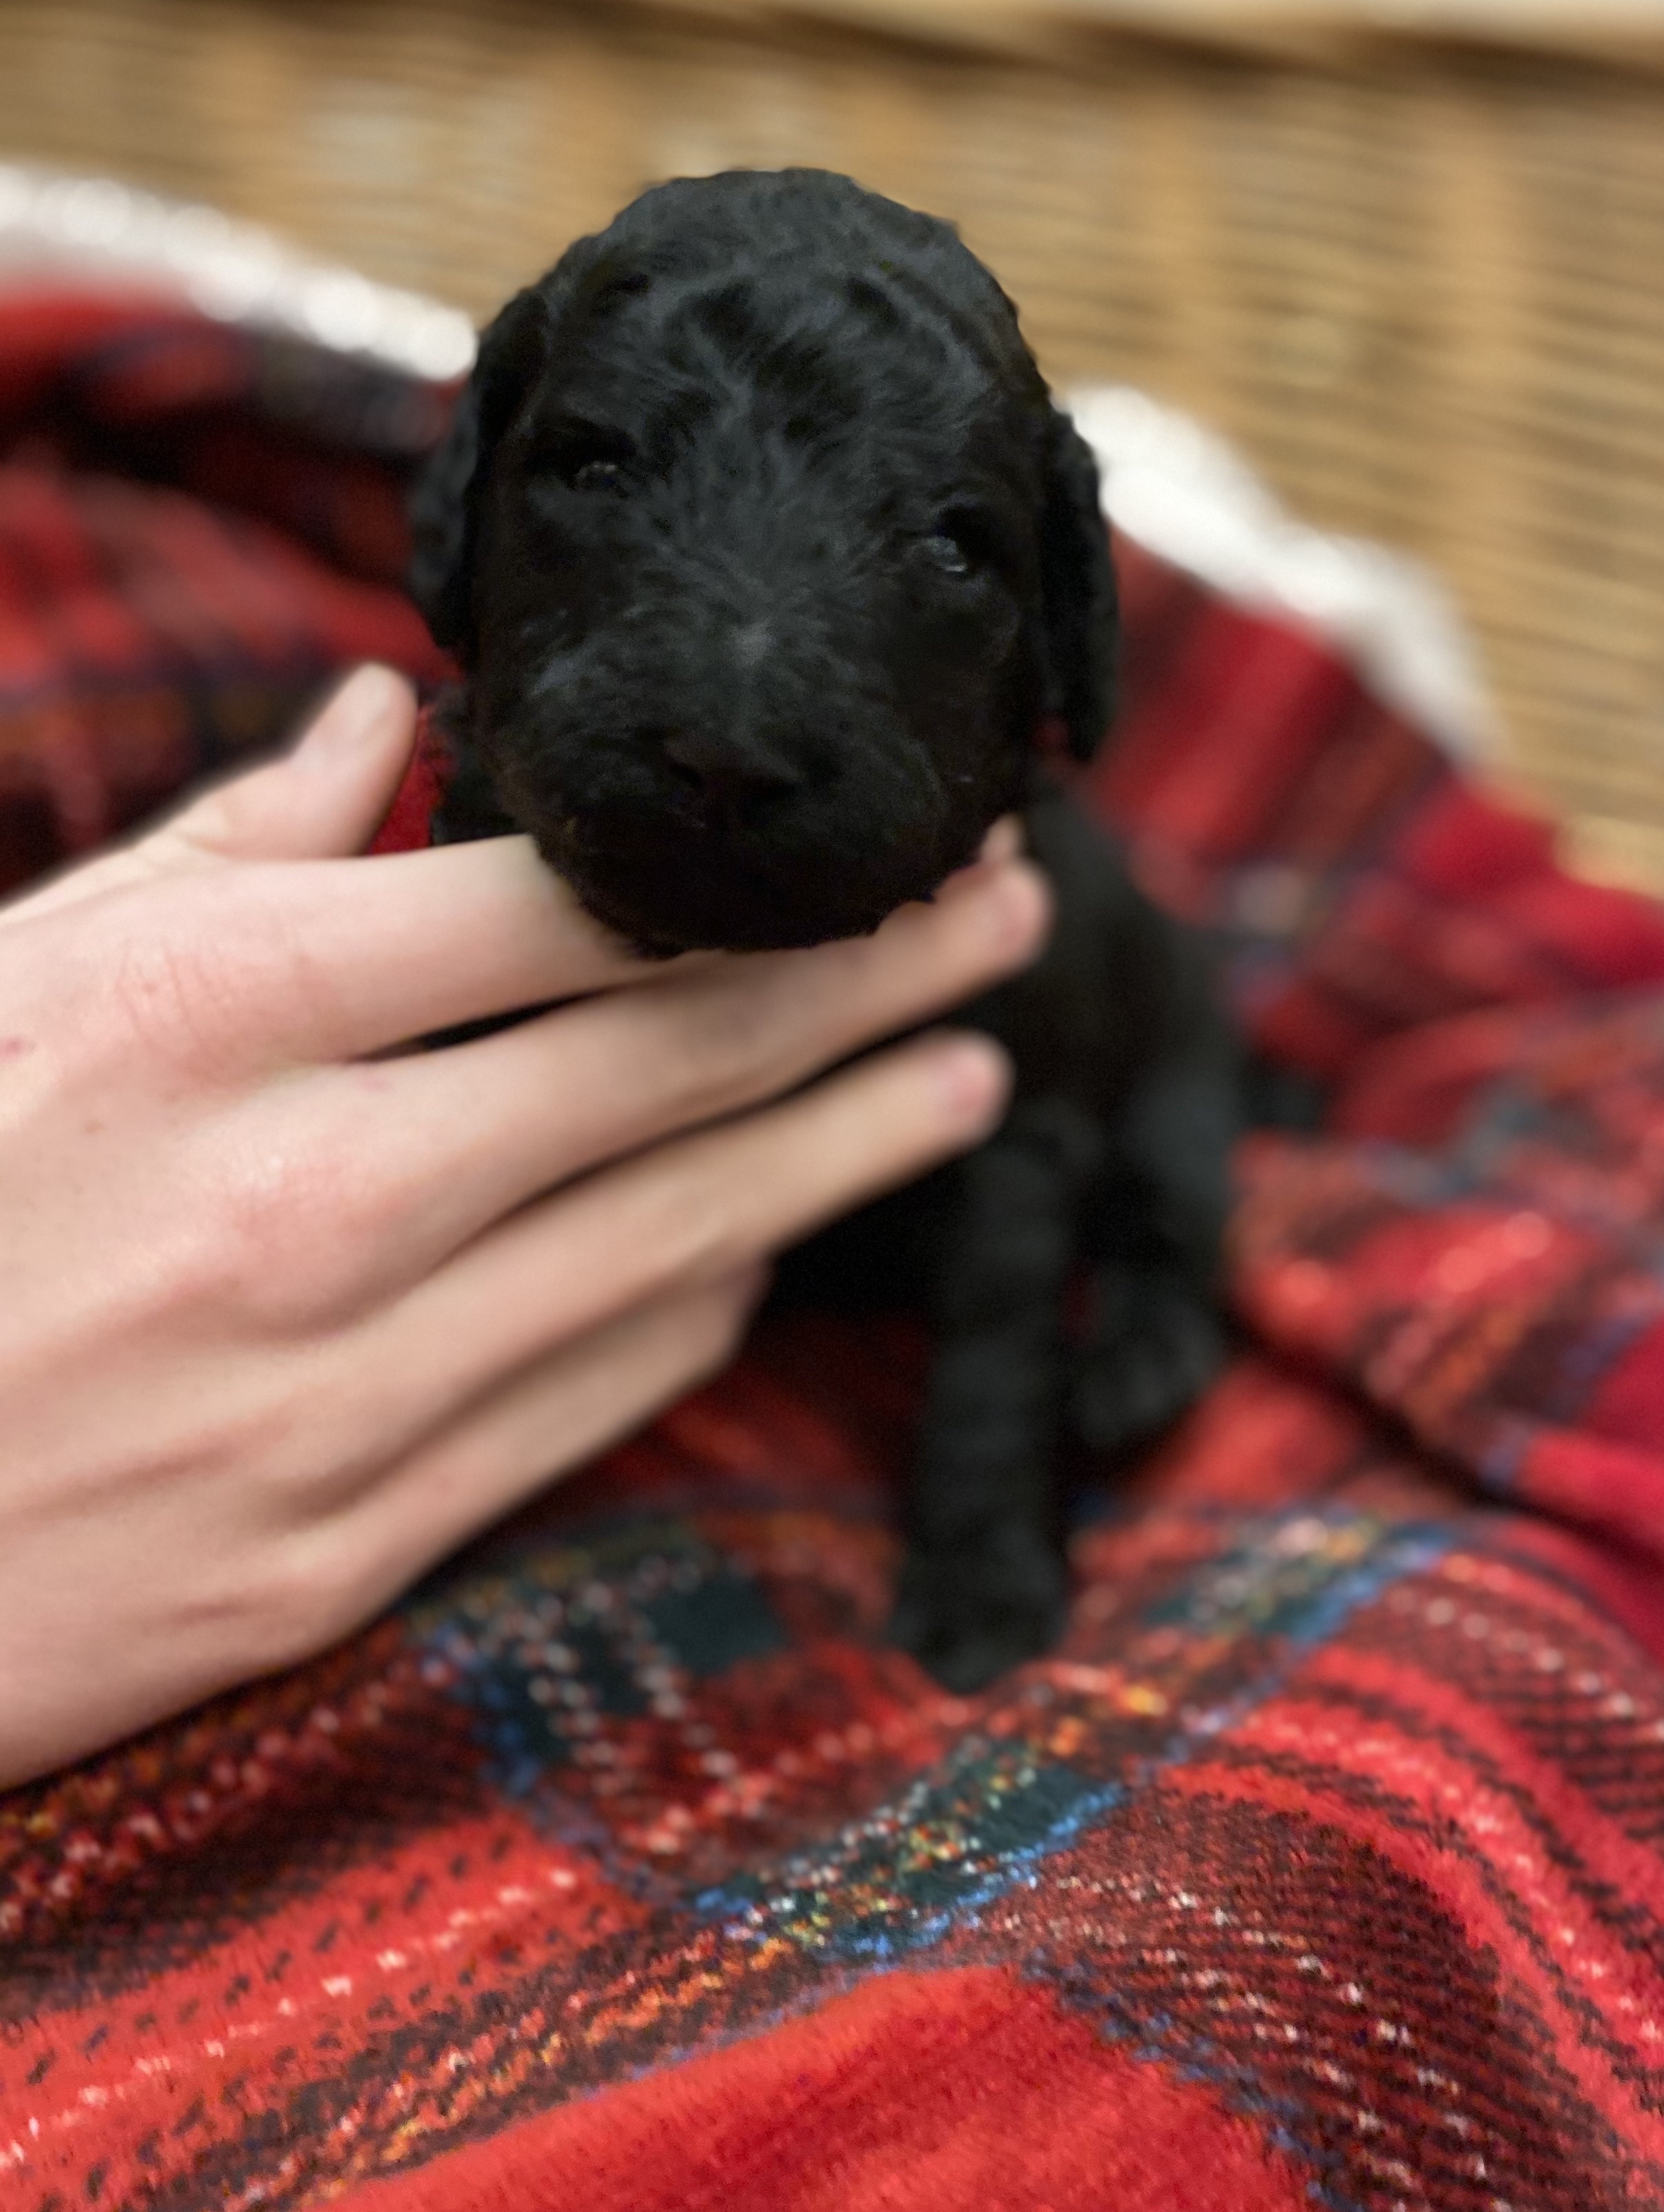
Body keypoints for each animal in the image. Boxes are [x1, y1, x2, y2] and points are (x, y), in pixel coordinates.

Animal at [408, 168, 1238, 1691]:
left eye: (954, 546)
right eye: (592, 470)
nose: (727, 758)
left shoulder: (1016, 1126)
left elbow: (989, 1362)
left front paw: (980, 1586)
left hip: (1179, 1058)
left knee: (1179, 1221)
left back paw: (1134, 1368)